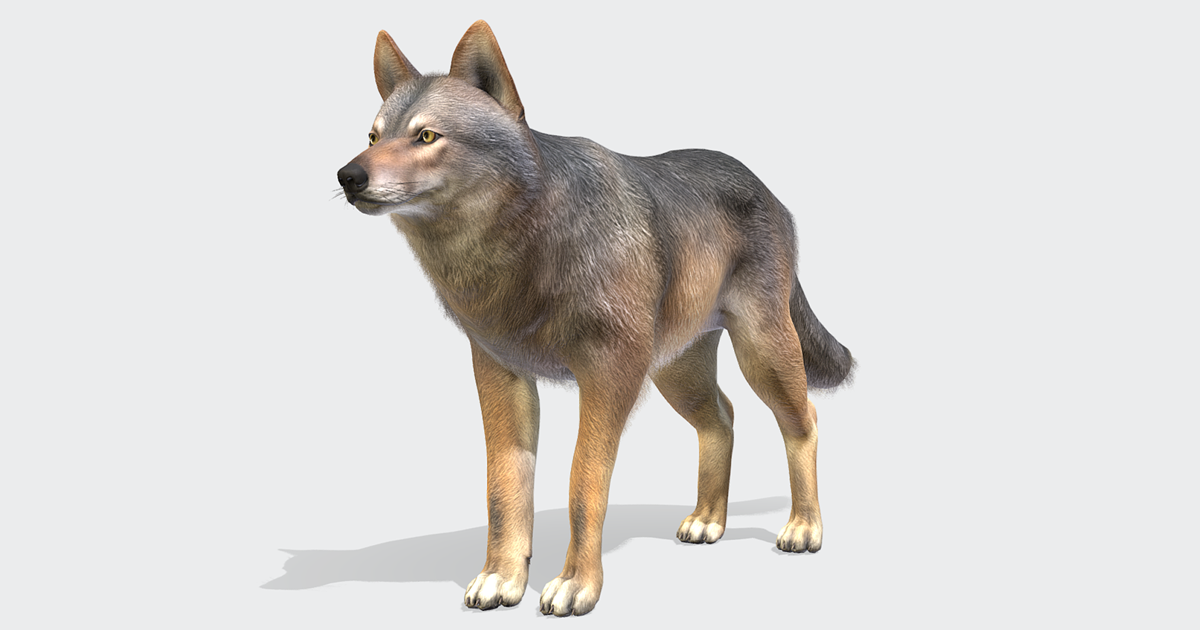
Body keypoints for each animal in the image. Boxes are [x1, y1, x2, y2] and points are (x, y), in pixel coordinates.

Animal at [335, 20, 854, 616]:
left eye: (426, 136)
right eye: (373, 137)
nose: (347, 176)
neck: (523, 250)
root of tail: (769, 191)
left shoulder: (609, 376)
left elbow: (583, 484)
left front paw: (576, 584)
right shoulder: (501, 376)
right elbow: (503, 488)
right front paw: (501, 578)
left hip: (760, 354)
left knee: (804, 419)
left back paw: (804, 527)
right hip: (676, 372)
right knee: (721, 418)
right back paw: (708, 521)